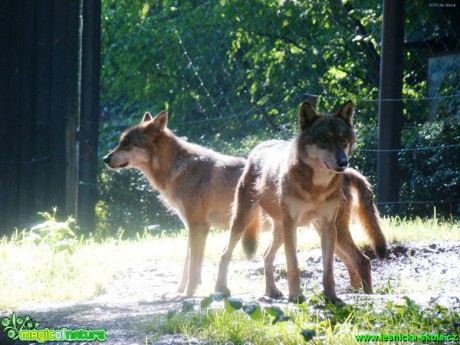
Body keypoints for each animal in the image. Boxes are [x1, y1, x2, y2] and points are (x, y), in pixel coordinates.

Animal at [214, 99, 386, 300]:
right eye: (323, 140)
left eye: (343, 139)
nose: (343, 162)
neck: (317, 187)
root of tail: (257, 148)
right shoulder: (291, 224)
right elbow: (292, 264)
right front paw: (296, 296)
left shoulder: (328, 225)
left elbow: (328, 269)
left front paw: (331, 297)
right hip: (246, 220)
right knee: (227, 252)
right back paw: (221, 289)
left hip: (322, 231)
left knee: (361, 260)